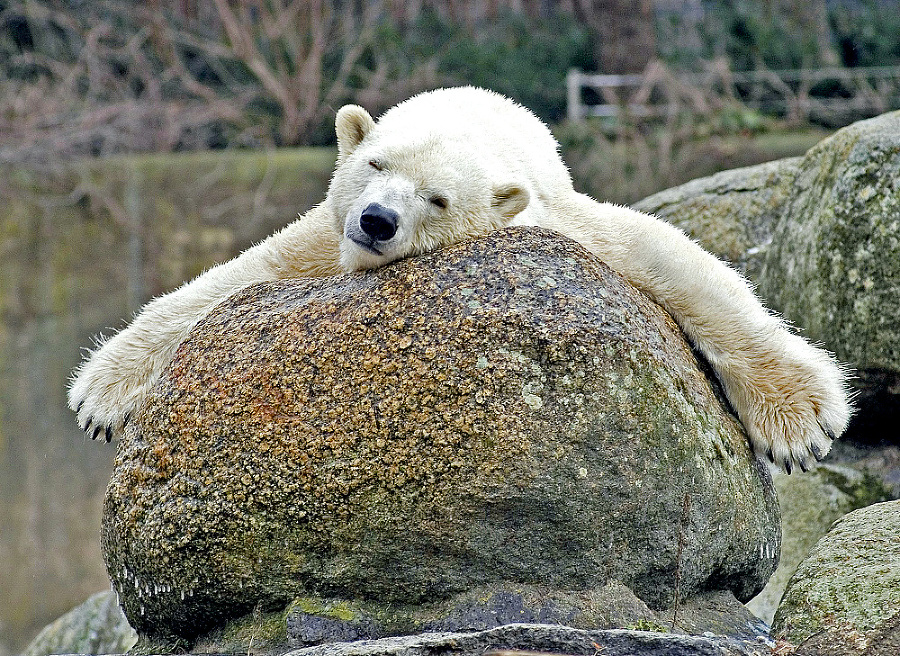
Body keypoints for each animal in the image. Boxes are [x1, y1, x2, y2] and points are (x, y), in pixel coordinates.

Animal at [68, 88, 852, 476]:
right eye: (376, 165)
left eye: (438, 198)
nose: (377, 221)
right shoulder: (326, 229)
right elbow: (240, 276)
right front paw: (101, 393)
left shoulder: (548, 213)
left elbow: (668, 255)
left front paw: (803, 418)